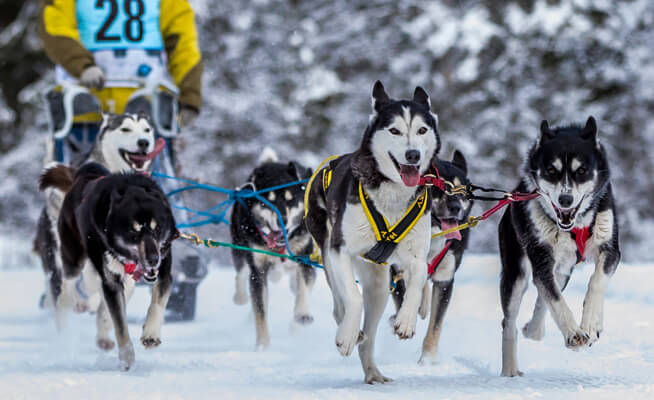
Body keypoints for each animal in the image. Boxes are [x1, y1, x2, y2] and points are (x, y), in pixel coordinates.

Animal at [40, 164, 179, 370]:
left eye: (157, 228)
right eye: (133, 232)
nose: (154, 259)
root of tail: (84, 174)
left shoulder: (163, 274)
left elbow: (157, 303)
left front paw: (151, 333)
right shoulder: (111, 282)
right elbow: (120, 325)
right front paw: (126, 358)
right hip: (74, 259)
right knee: (69, 287)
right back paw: (67, 314)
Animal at [306, 81, 440, 384]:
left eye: (421, 130)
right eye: (395, 130)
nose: (413, 155)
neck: (391, 193)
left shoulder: (416, 255)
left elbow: (417, 283)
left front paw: (406, 321)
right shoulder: (340, 250)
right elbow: (353, 299)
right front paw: (346, 335)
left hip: (378, 287)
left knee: (368, 338)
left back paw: (372, 372)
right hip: (329, 256)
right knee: (340, 305)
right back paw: (349, 329)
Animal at [502, 115, 620, 376]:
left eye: (582, 171)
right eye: (551, 170)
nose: (565, 200)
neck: (575, 226)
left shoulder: (610, 250)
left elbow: (596, 281)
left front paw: (591, 323)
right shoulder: (541, 259)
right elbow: (555, 300)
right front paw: (574, 333)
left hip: (563, 270)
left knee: (543, 297)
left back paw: (536, 329)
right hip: (516, 274)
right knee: (510, 322)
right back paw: (510, 369)